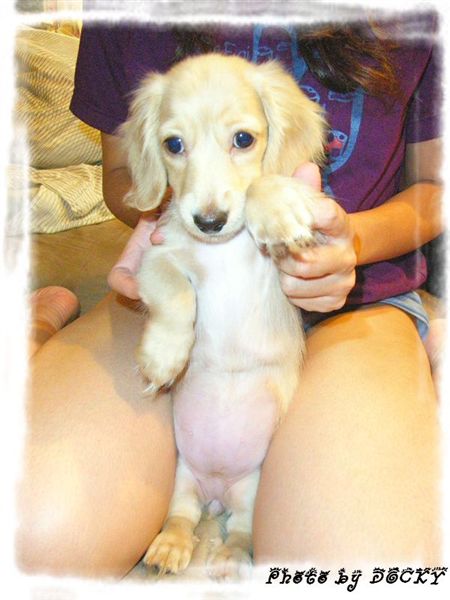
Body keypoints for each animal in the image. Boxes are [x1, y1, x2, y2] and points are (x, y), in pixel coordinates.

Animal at [120, 53, 326, 579]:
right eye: (174, 144)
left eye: (244, 139)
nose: (209, 222)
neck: (222, 250)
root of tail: (216, 490)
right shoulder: (158, 259)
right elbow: (177, 296)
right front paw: (164, 357)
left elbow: (265, 188)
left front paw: (273, 206)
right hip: (183, 480)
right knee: (181, 516)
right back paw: (169, 548)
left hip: (251, 489)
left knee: (242, 530)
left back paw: (231, 557)